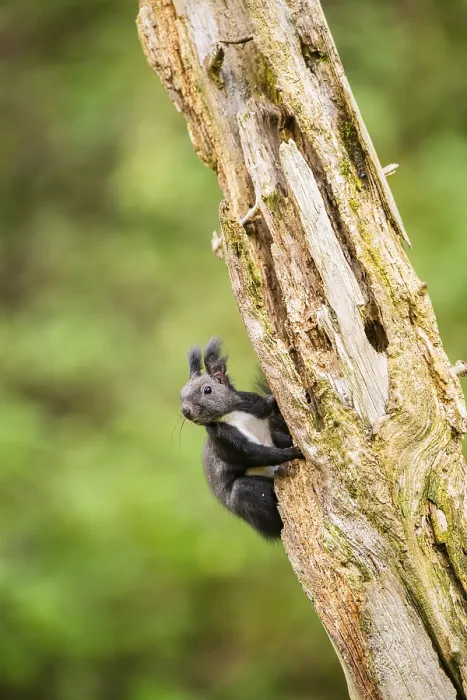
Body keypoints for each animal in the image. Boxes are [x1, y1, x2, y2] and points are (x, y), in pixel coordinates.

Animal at [180, 338, 304, 540]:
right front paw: (292, 453)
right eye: (180, 397)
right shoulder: (225, 440)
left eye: (207, 390)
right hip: (246, 495)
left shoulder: (252, 403)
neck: (231, 415)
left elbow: (270, 404)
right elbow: (255, 454)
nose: (185, 410)